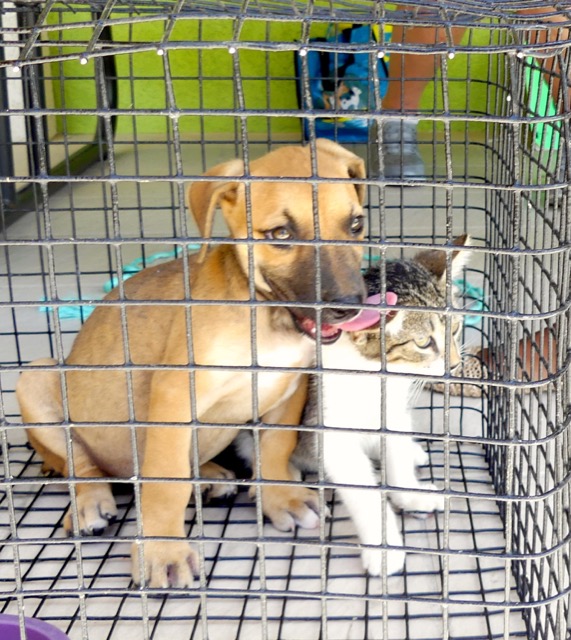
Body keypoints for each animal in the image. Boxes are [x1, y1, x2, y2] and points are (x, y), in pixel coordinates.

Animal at [17, 140, 368, 592]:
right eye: (281, 235)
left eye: (356, 224)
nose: (350, 306)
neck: (265, 320)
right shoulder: (175, 396)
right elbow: (166, 482)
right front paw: (163, 550)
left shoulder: (289, 387)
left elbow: (276, 447)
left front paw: (280, 497)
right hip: (37, 376)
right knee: (81, 465)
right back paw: (90, 501)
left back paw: (210, 475)